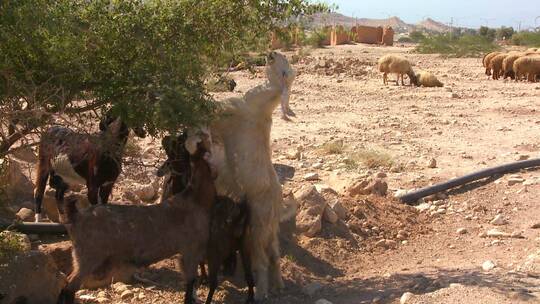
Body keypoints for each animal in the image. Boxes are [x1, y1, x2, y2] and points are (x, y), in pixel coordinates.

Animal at [57, 140, 213, 304]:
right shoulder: (191, 249)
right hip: (88, 257)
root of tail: (75, 217)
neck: (195, 198)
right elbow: (190, 284)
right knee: (69, 287)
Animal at [197, 51, 296, 300]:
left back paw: (261, 293)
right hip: (269, 229)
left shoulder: (231, 111)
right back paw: (279, 286)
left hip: (258, 224)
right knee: (275, 254)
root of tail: (278, 204)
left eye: (284, 62)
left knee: (261, 260)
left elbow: (214, 109)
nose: (272, 52)